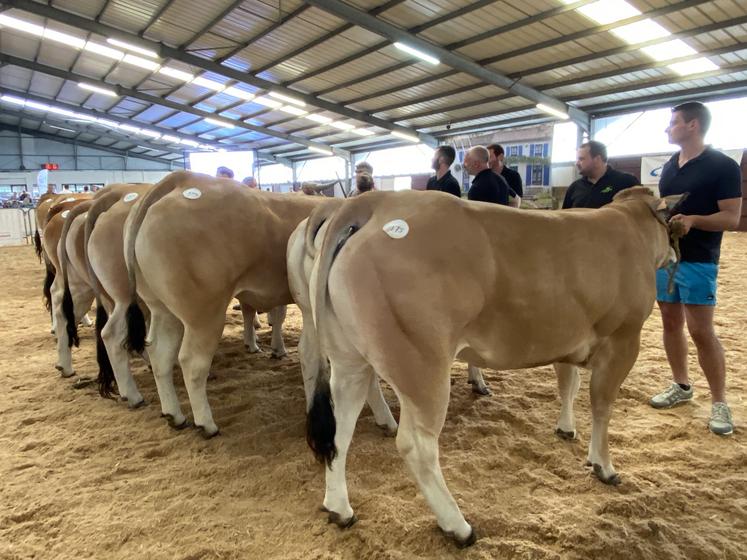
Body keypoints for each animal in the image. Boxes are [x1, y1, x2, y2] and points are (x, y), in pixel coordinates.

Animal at [306, 188, 688, 548]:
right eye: (671, 225)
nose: (676, 256)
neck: (629, 225)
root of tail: (380, 201)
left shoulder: (566, 338)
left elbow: (569, 383)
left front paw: (566, 428)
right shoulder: (624, 339)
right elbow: (602, 406)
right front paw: (604, 466)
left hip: (349, 360)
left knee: (339, 430)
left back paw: (339, 508)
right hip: (421, 364)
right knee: (417, 445)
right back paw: (458, 526)